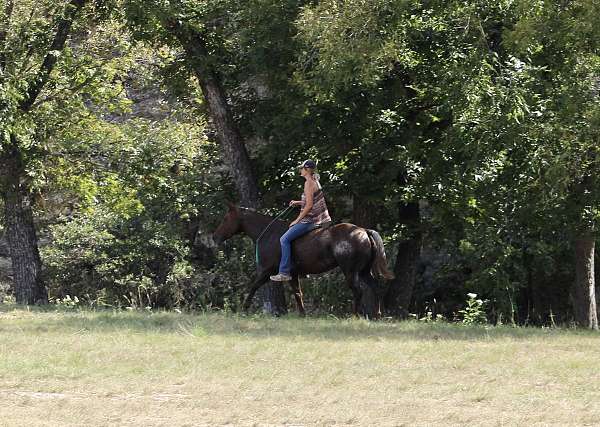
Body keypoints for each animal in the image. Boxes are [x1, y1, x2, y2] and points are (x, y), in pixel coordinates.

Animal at [211, 204, 394, 318]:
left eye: (226, 219)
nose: (214, 237)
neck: (269, 234)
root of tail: (364, 231)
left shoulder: (267, 271)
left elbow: (253, 286)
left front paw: (243, 309)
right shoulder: (292, 274)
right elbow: (298, 293)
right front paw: (302, 314)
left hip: (350, 271)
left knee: (358, 291)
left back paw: (355, 315)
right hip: (363, 271)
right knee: (376, 288)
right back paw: (378, 314)